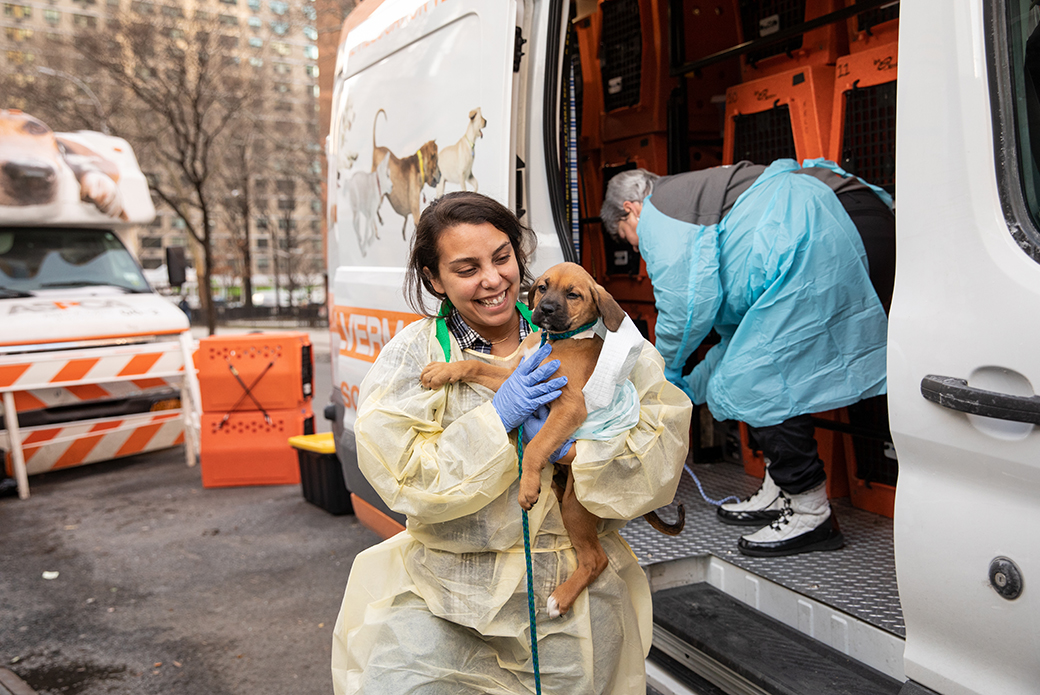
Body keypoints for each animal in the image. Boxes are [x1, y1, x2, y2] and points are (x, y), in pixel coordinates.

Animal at [418, 262, 686, 620]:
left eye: (573, 295)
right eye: (543, 287)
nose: (544, 309)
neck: (557, 341)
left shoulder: (570, 406)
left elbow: (536, 444)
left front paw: (528, 487)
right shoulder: (518, 378)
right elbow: (474, 364)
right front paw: (440, 371)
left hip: (575, 506)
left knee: (597, 559)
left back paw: (559, 600)